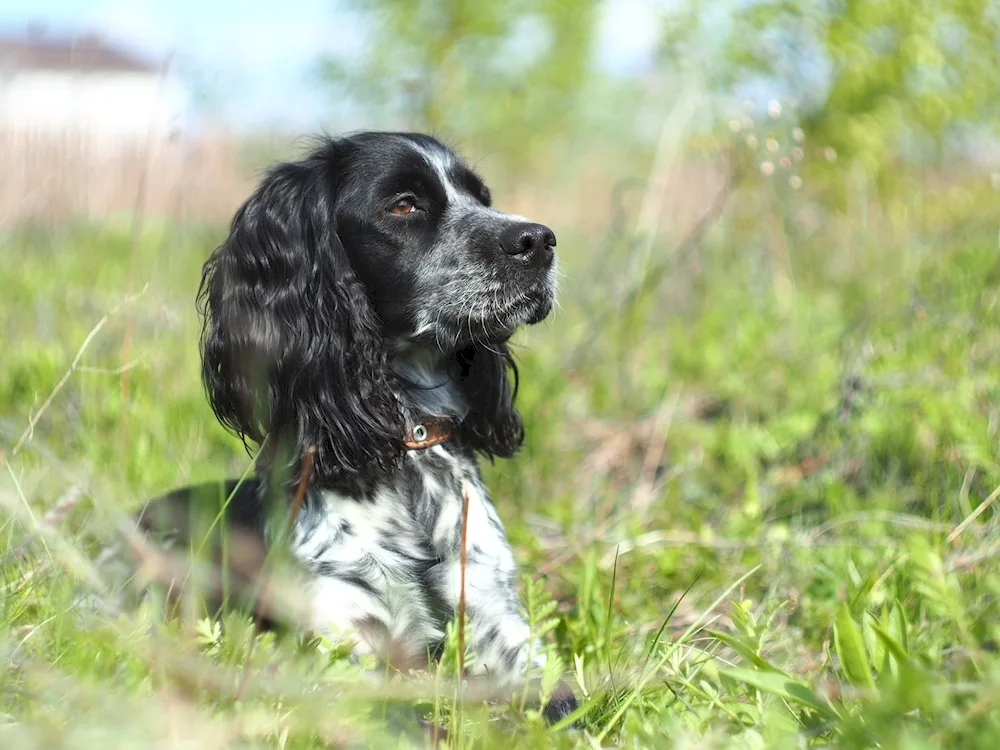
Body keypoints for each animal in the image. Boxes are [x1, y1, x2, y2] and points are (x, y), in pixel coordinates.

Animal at [135, 132, 584, 724]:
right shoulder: (346, 648)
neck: (410, 444)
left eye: (482, 197)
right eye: (404, 205)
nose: (538, 240)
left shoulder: (500, 625)